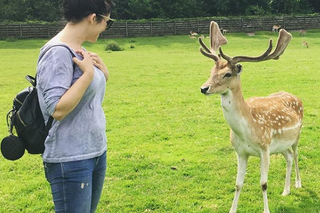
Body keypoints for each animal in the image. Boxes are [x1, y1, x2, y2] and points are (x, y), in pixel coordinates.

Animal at [199, 21, 304, 213]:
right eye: (211, 71)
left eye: (227, 74)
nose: (204, 88)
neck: (247, 130)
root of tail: (296, 97)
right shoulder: (240, 152)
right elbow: (238, 184)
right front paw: (232, 210)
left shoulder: (264, 149)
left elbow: (263, 183)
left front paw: (266, 210)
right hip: (281, 145)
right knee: (288, 157)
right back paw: (285, 190)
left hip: (297, 135)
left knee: (296, 154)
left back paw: (298, 184)